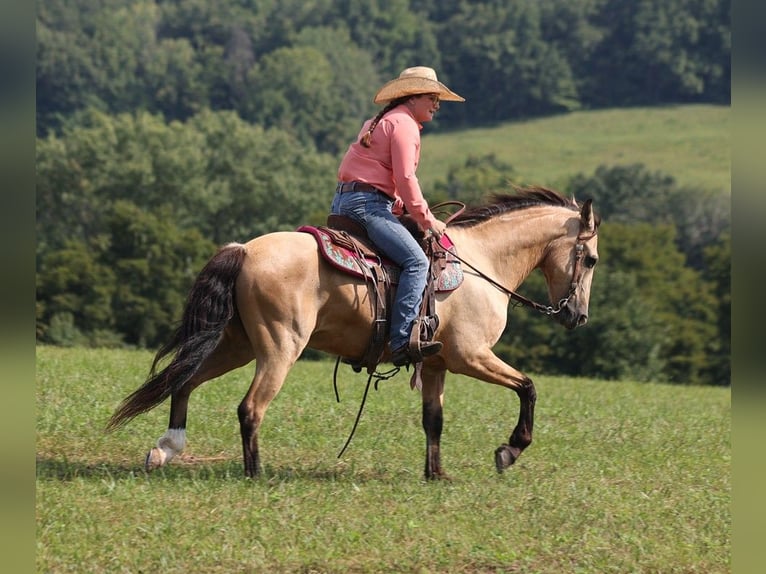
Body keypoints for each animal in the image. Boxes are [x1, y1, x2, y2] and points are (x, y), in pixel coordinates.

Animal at [107, 186, 600, 480]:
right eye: (591, 259)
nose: (577, 316)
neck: (482, 264)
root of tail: (243, 250)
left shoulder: (437, 364)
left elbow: (434, 421)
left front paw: (435, 475)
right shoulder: (471, 356)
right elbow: (528, 387)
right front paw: (510, 450)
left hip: (235, 344)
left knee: (185, 381)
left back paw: (166, 449)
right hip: (280, 347)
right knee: (249, 407)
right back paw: (254, 473)